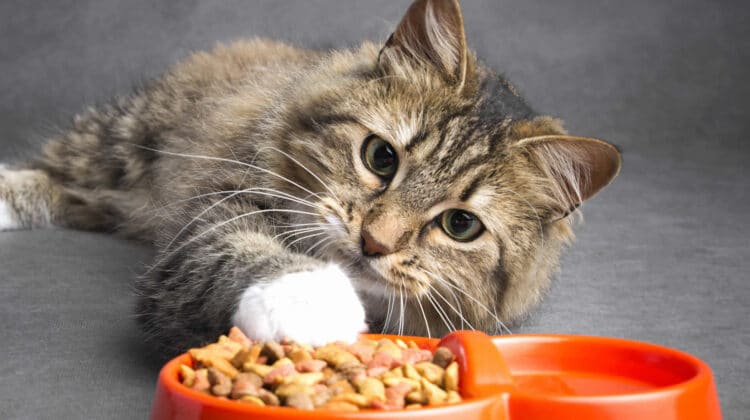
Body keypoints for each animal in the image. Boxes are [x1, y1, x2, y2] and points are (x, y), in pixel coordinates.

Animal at [0, 0, 624, 354]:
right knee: (49, 173)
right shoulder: (214, 216)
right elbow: (248, 253)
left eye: (460, 226)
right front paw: (311, 302)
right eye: (381, 158)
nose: (375, 243)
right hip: (122, 141)